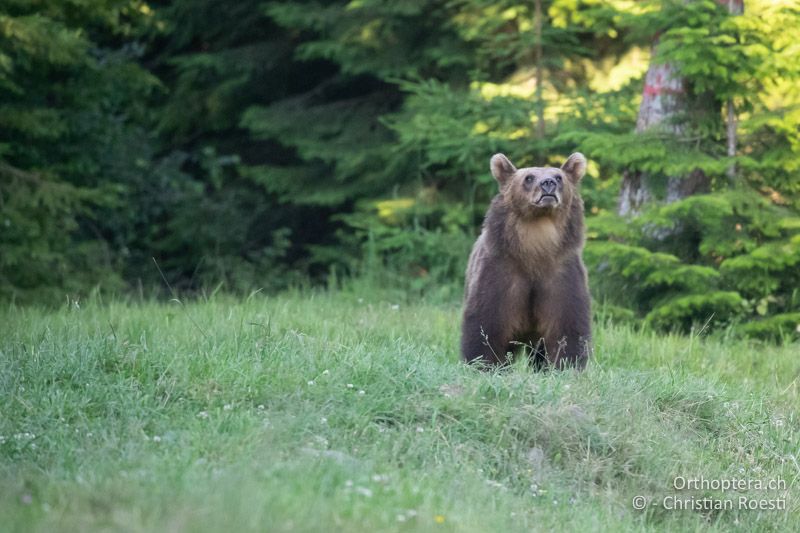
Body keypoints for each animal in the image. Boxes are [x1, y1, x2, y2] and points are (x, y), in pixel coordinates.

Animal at [460, 152, 592, 368]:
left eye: (559, 177)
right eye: (529, 177)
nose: (548, 183)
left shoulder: (561, 273)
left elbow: (567, 325)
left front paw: (567, 364)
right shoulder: (502, 270)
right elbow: (486, 323)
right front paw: (482, 364)